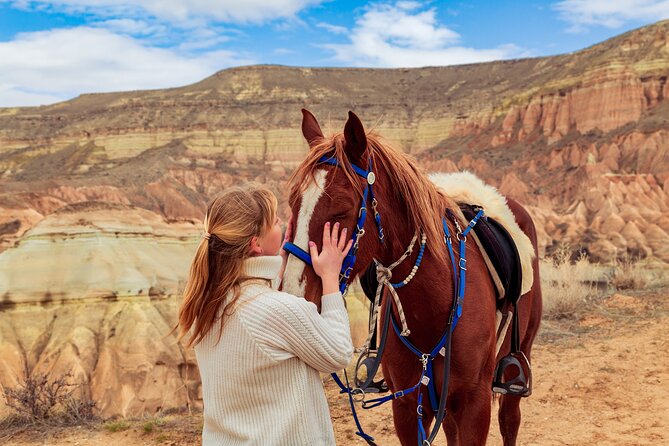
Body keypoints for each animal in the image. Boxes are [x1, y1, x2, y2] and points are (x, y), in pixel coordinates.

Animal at [282, 109, 544, 446]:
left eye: (341, 210)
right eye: (293, 203)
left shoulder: (475, 405)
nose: (293, 296)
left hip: (517, 360)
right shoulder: (408, 406)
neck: (434, 306)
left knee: (510, 419)